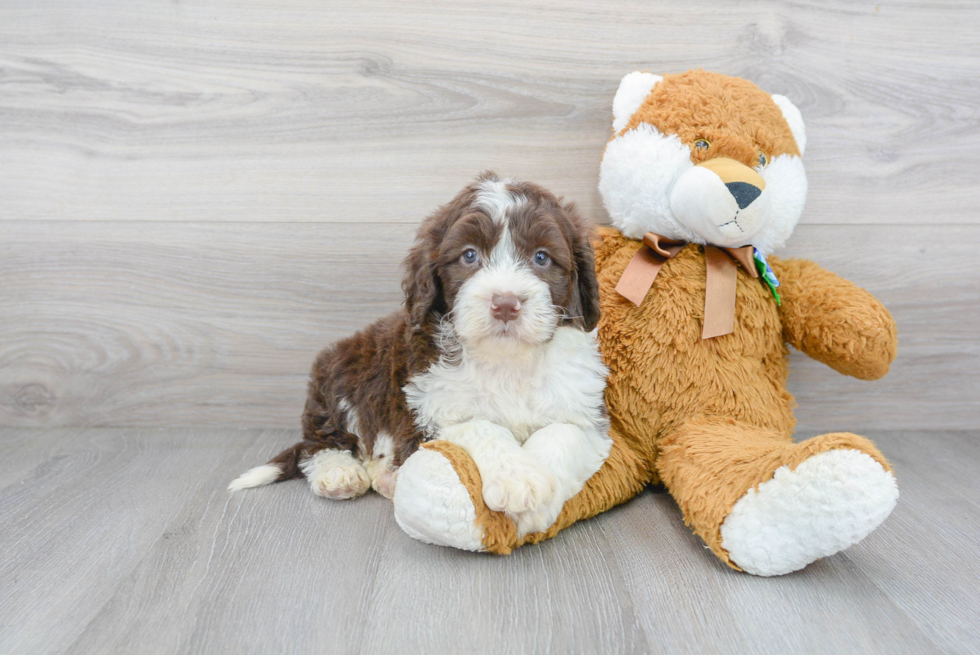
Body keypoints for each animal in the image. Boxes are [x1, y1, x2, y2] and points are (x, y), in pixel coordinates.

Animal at [231, 174, 612, 540]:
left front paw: (538, 498)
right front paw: (518, 477)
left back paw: (386, 477)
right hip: (341, 374)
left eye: (542, 257)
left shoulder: (585, 410)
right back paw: (338, 472)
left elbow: (563, 433)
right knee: (322, 442)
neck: (505, 359)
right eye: (469, 255)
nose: (505, 303)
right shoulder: (427, 409)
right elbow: (478, 424)